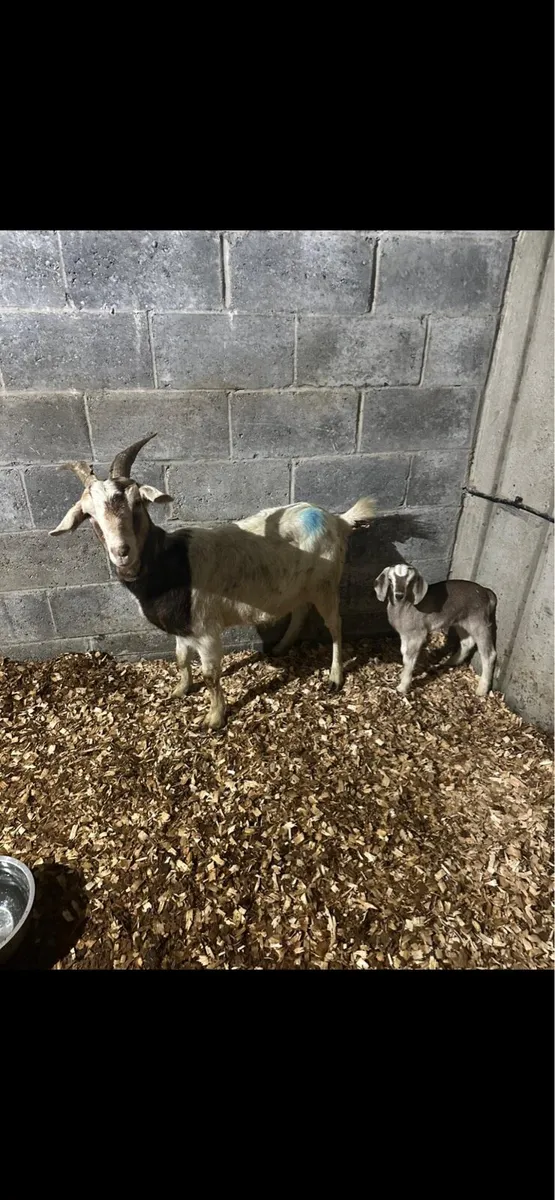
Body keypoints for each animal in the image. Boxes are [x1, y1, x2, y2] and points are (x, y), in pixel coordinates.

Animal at [50, 433, 375, 729]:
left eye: (138, 502)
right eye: (88, 515)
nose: (122, 552)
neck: (171, 564)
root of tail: (338, 520)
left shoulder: (206, 629)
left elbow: (210, 675)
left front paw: (214, 718)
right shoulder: (182, 627)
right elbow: (180, 658)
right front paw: (180, 690)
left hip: (326, 584)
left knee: (335, 625)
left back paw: (334, 677)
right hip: (299, 586)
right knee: (299, 611)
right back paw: (281, 648)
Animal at [374, 563, 497, 698]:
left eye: (410, 581)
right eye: (390, 580)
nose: (399, 595)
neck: (406, 607)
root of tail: (487, 593)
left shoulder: (417, 634)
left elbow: (409, 658)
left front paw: (403, 686)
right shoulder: (405, 634)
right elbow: (404, 653)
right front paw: (402, 675)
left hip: (479, 622)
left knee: (489, 654)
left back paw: (482, 689)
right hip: (462, 621)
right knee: (467, 642)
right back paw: (451, 661)